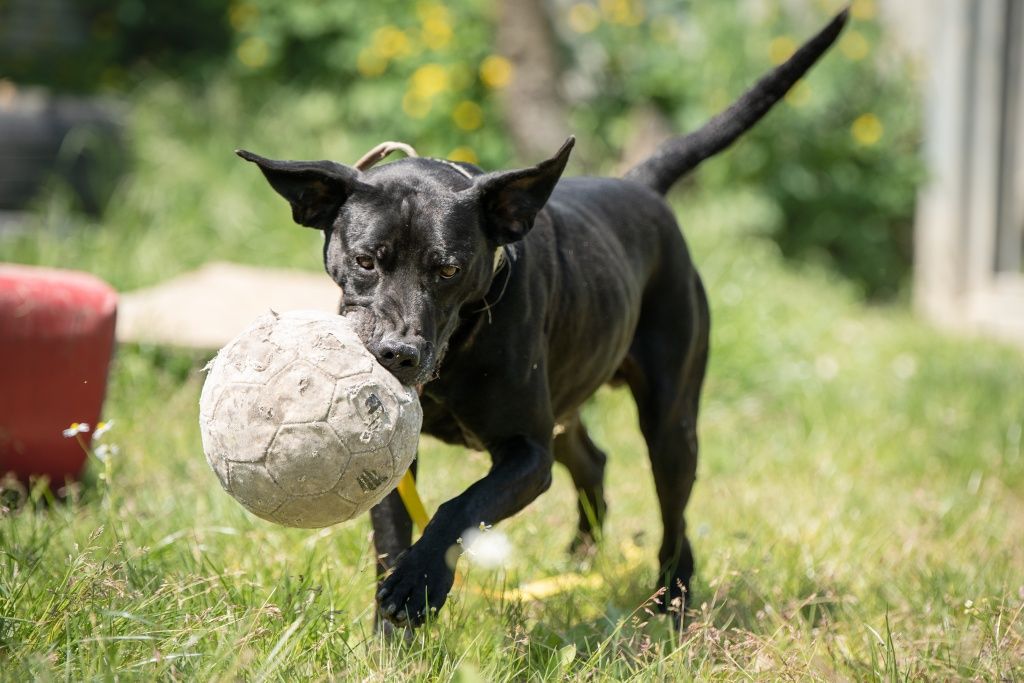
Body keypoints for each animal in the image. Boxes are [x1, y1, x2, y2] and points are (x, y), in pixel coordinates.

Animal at [239, 10, 847, 626]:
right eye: (365, 261)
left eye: (448, 269)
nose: (398, 354)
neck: (460, 344)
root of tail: (641, 186)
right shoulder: (392, 457)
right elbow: (390, 533)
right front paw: (391, 626)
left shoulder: (528, 454)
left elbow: (460, 506)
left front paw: (420, 579)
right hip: (572, 399)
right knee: (594, 460)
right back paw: (582, 560)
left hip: (670, 422)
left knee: (673, 517)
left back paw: (672, 604)